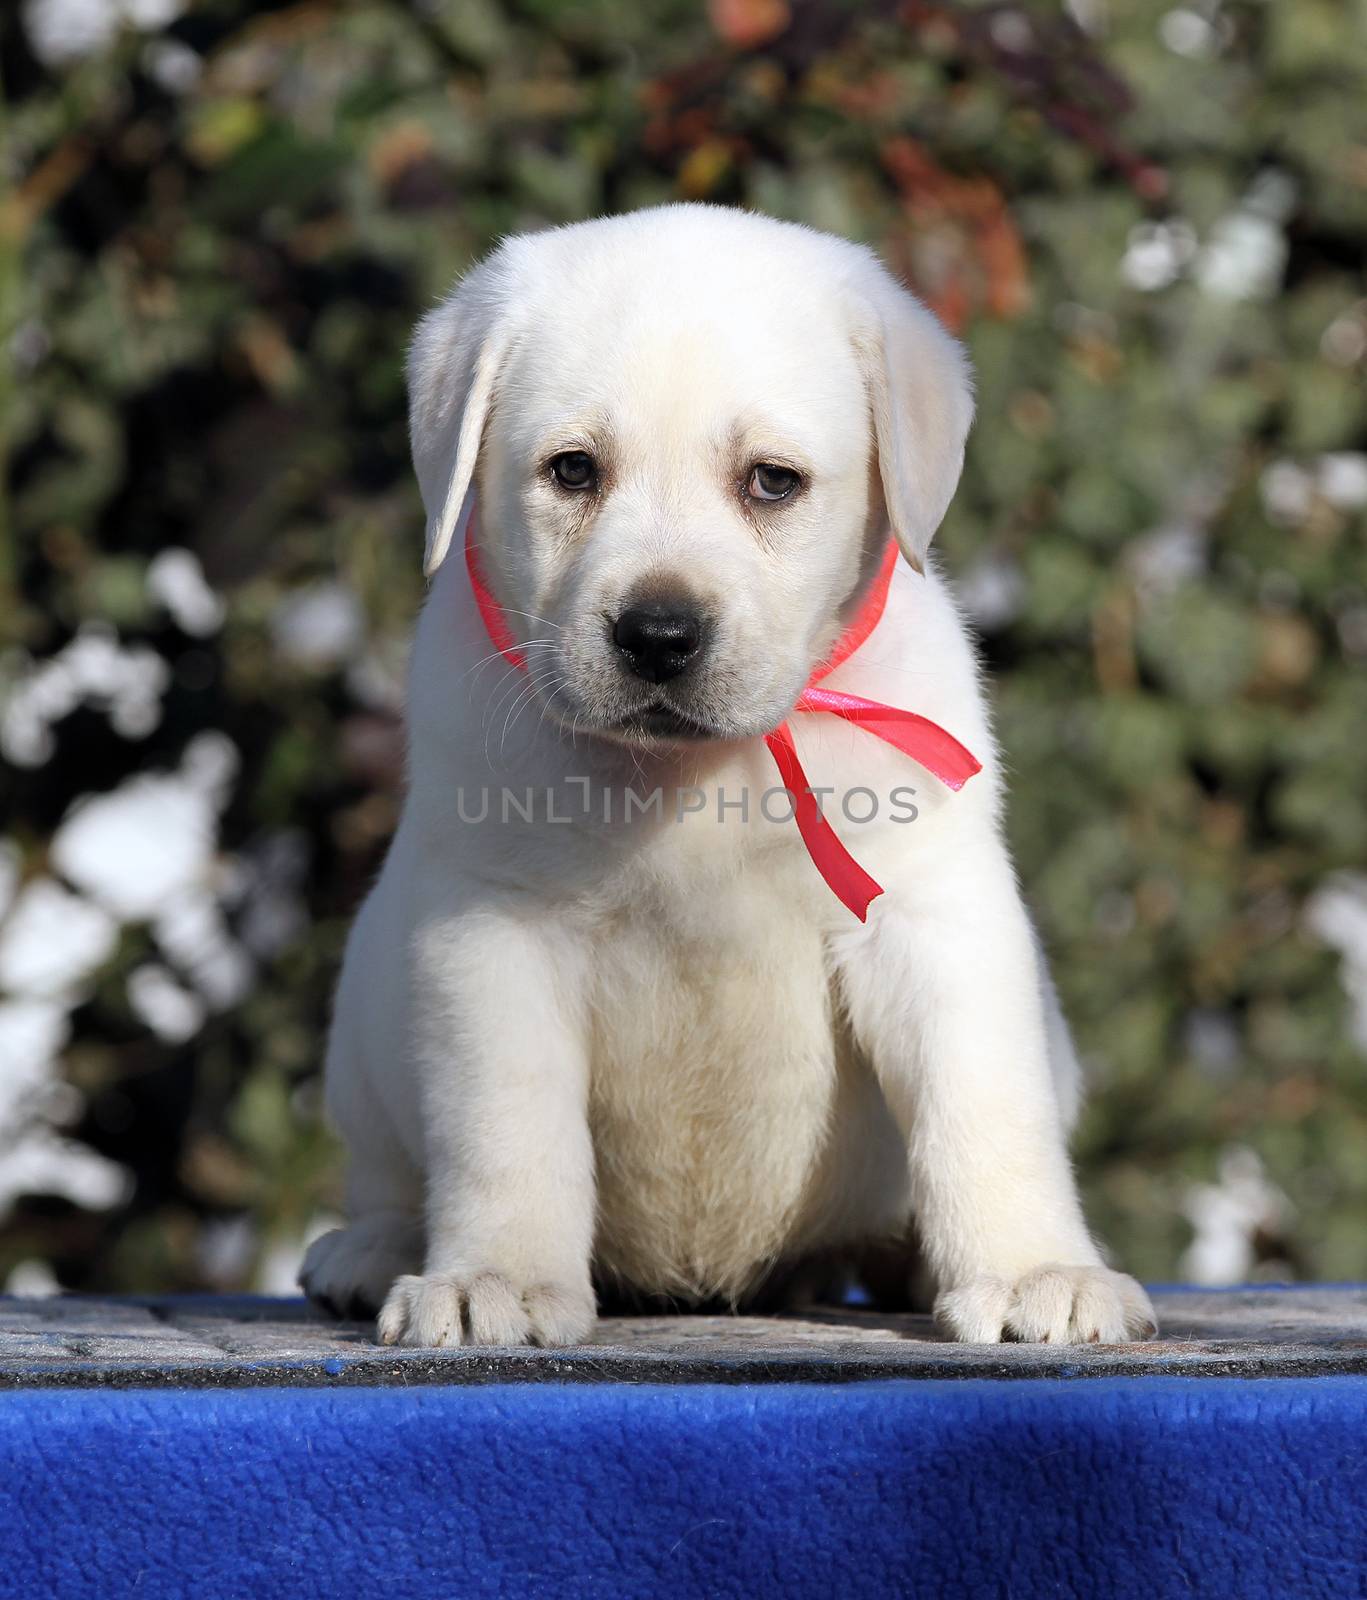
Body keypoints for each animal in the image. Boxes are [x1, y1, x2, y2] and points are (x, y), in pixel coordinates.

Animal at [299, 200, 1158, 1350]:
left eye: (771, 481)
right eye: (572, 471)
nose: (658, 635)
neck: (695, 777)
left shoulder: (929, 916)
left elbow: (982, 1106)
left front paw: (1034, 1270)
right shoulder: (495, 935)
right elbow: (506, 1130)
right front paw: (497, 1278)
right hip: (365, 1025)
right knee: (390, 1175)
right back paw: (372, 1249)